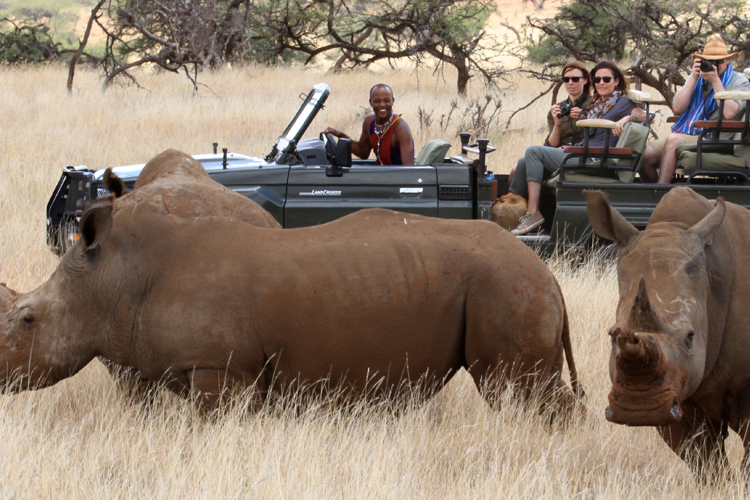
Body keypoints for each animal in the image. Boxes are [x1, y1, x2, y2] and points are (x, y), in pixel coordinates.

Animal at [0, 189, 582, 414]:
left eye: (28, 319)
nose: (2, 378)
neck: (114, 277)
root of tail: (549, 275)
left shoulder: (220, 369)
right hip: (507, 283)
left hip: (504, 285)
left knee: (516, 391)